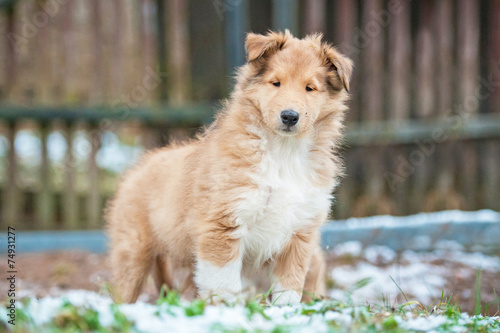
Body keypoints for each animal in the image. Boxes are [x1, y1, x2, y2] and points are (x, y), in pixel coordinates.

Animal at [106, 29, 352, 304]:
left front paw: (285, 311)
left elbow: (288, 287)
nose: (289, 116)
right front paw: (229, 310)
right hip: (133, 254)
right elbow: (224, 285)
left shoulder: (299, 234)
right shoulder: (222, 225)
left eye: (310, 88)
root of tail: (140, 165)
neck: (283, 153)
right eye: (275, 83)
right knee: (122, 295)